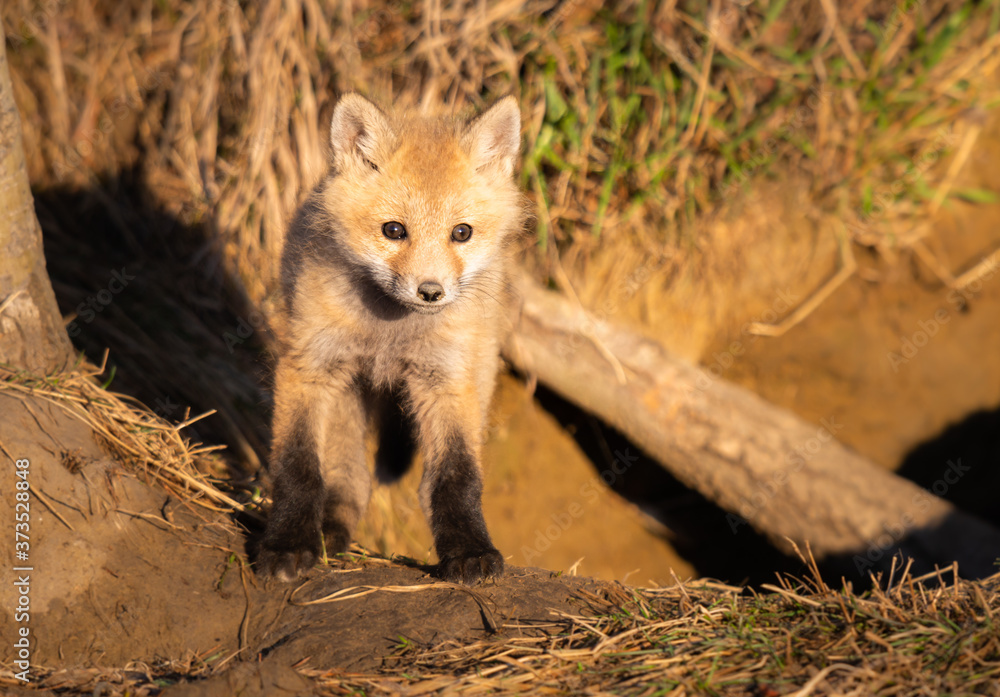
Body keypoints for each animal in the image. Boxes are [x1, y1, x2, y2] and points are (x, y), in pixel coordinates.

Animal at [256, 93, 527, 584]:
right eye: (394, 231)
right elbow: (297, 466)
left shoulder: (445, 380)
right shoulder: (308, 365)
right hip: (346, 394)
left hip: (474, 374)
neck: (390, 336)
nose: (431, 292)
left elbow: (456, 477)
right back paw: (331, 529)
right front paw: (288, 544)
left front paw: (469, 551)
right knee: (349, 476)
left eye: (461, 233)